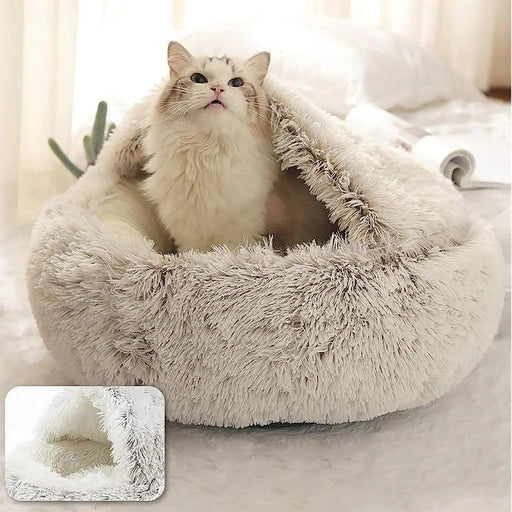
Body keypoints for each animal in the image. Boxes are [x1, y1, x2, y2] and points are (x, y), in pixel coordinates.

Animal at [141, 41, 280, 253]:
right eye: (198, 79)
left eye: (236, 83)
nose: (217, 88)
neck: (209, 151)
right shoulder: (189, 235)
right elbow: (193, 256)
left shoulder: (243, 232)